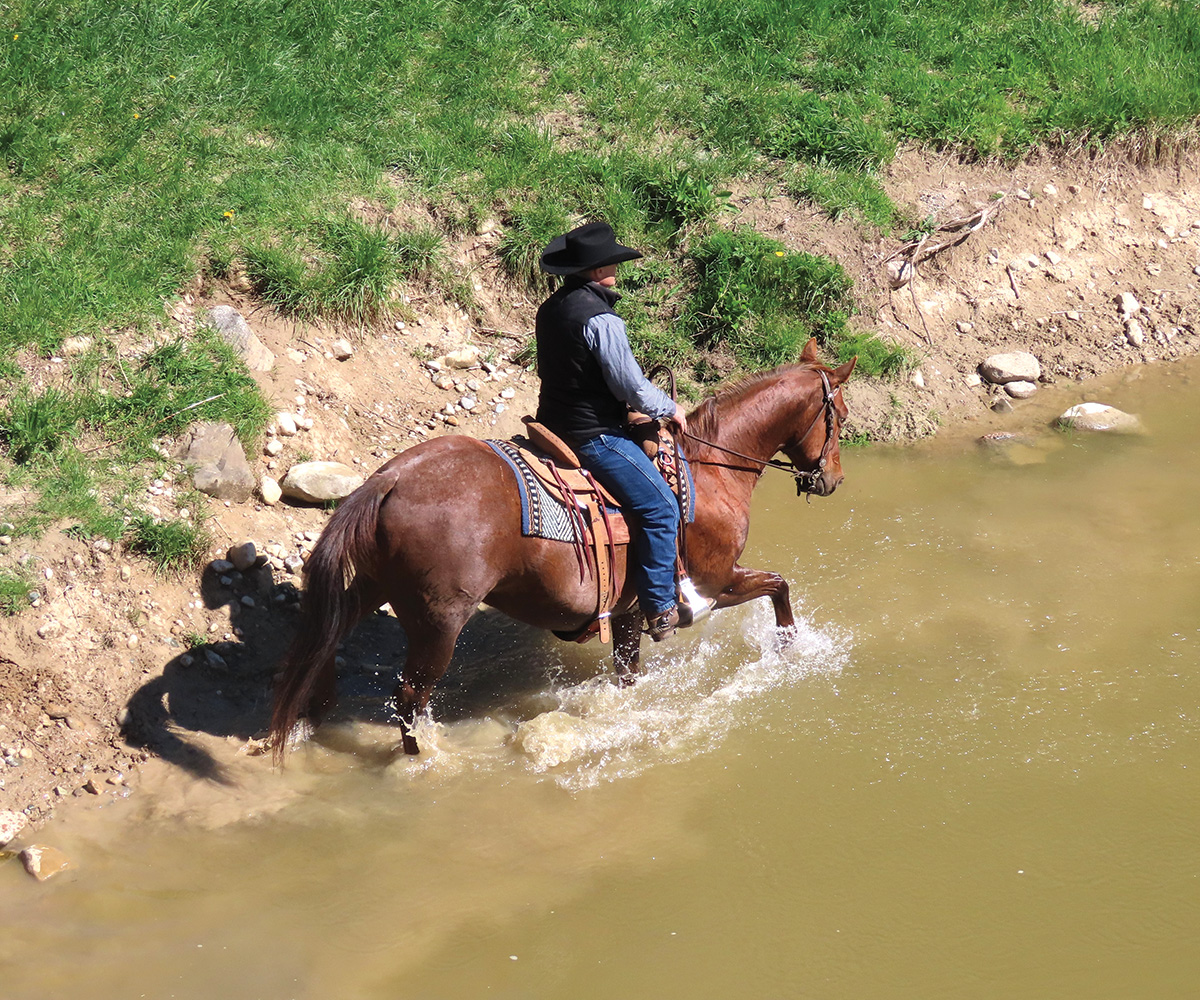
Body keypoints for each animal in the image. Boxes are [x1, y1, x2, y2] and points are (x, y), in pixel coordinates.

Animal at [272, 338, 854, 758]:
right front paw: (789, 647)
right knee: (410, 698)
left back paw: (311, 716)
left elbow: (628, 676)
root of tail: (391, 476)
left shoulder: (628, 611)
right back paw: (423, 764)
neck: (710, 470)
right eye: (841, 417)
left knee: (327, 641)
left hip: (374, 587)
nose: (833, 480)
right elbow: (779, 586)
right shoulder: (715, 582)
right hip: (440, 620)